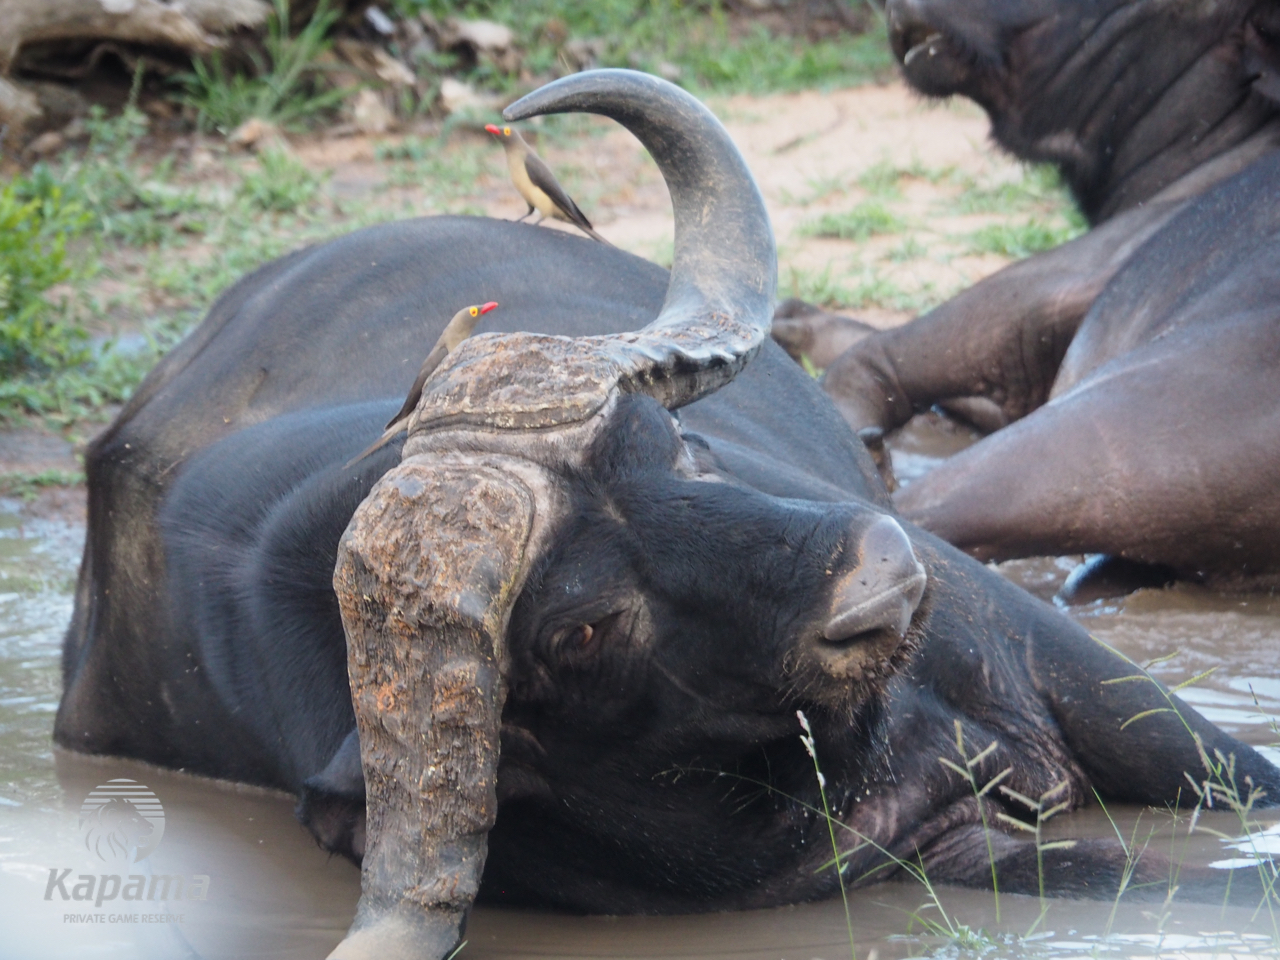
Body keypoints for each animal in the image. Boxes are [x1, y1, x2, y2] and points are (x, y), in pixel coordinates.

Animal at [54, 71, 1279, 960]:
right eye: (584, 626)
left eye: (674, 448)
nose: (877, 570)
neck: (876, 735)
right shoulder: (944, 854)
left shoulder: (1057, 660)